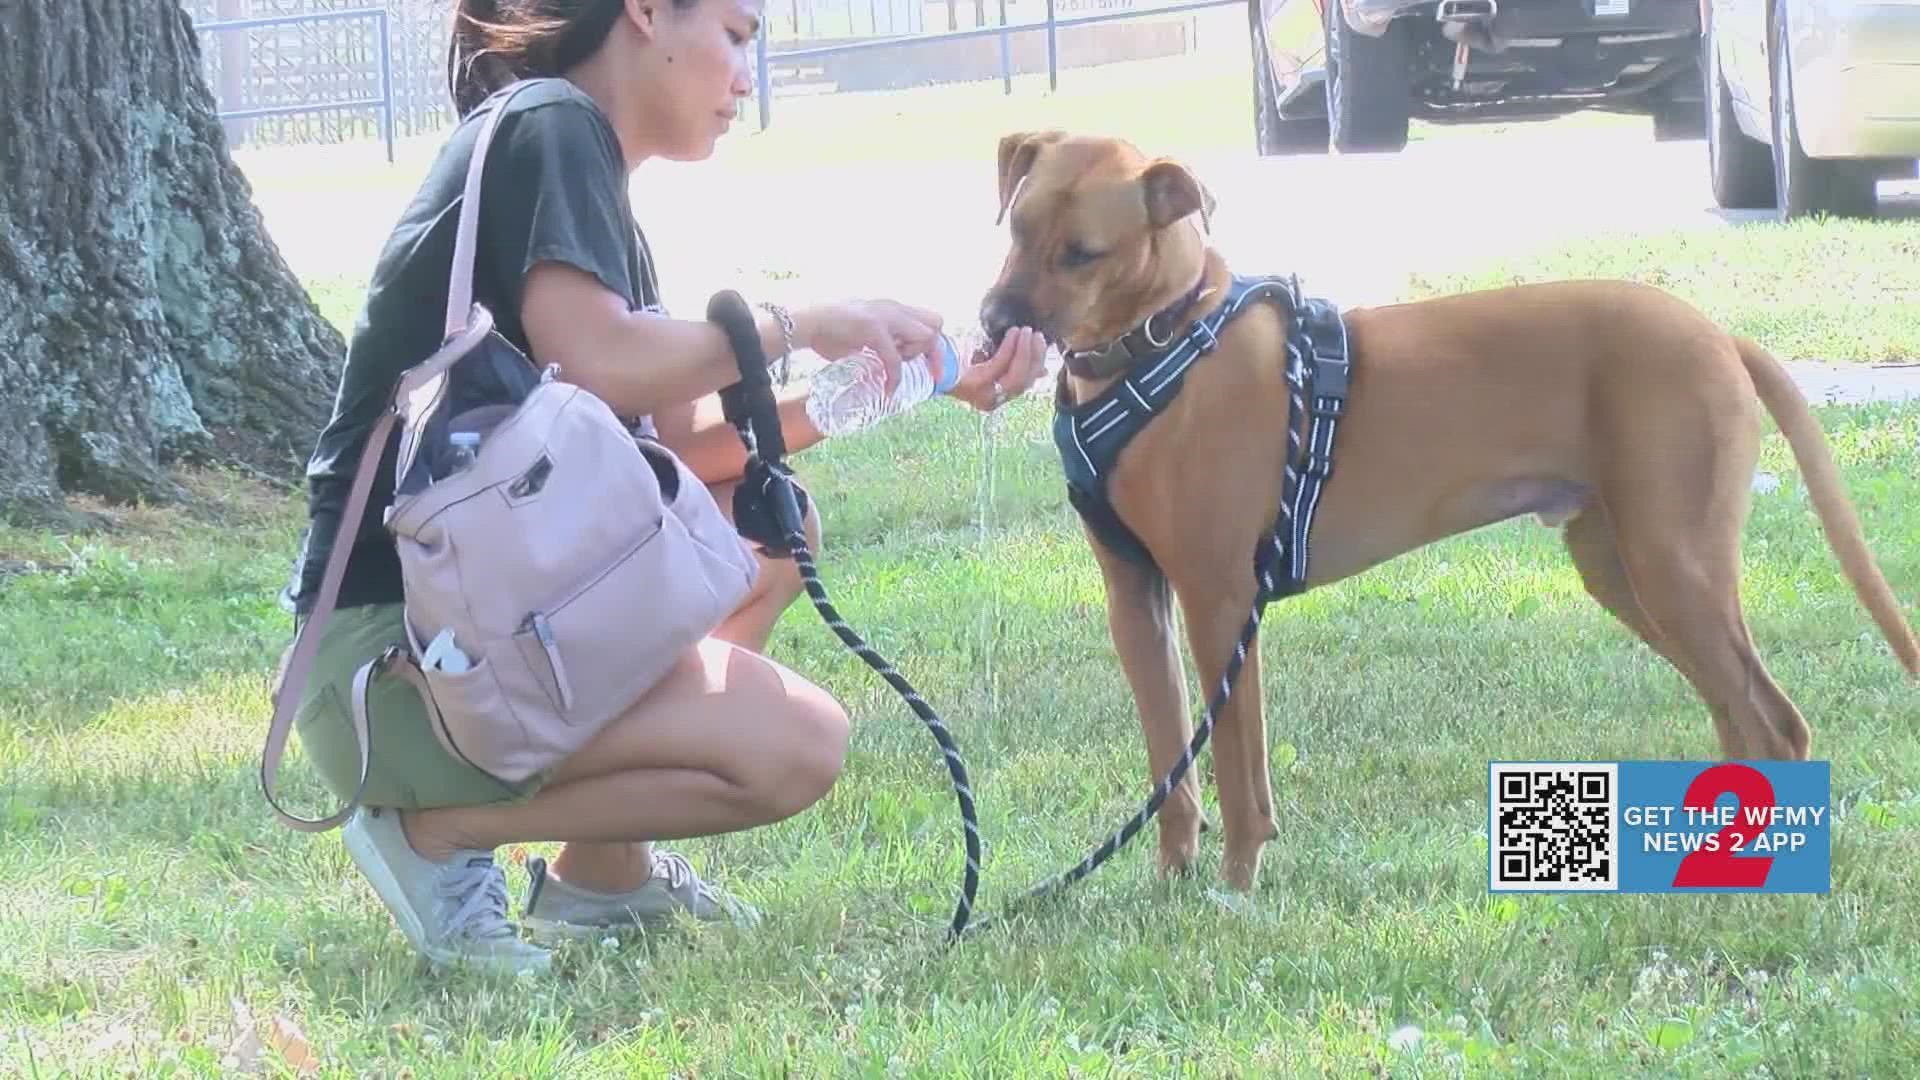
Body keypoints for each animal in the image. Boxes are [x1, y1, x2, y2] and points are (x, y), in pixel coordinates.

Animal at [983, 130, 1920, 891]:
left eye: (1084, 253)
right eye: (1016, 228)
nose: (995, 320)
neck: (1170, 337)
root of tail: (1720, 335)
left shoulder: (1220, 604)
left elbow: (1240, 774)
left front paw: (1236, 887)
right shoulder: (1135, 601)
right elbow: (1169, 759)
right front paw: (1172, 876)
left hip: (1673, 564)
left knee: (1775, 724)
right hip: (1626, 569)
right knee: (1738, 719)